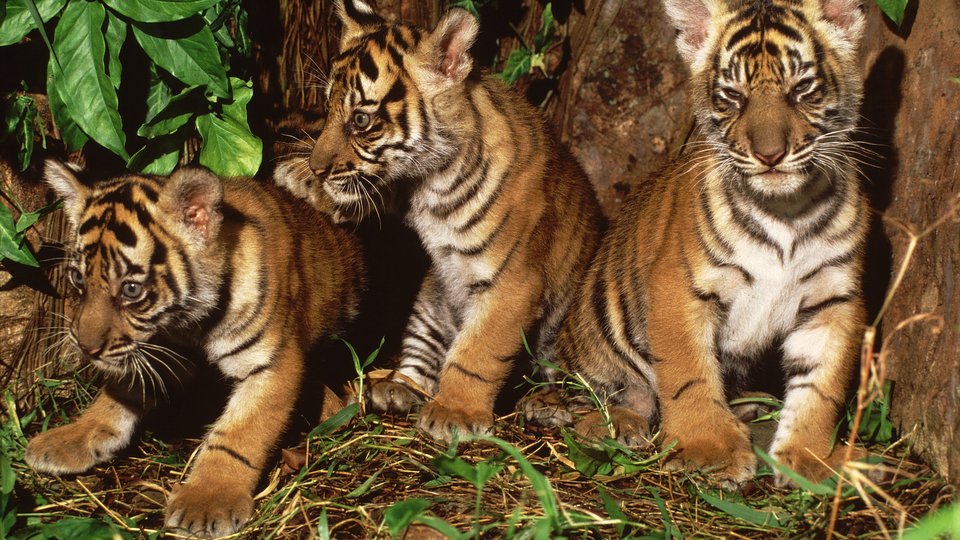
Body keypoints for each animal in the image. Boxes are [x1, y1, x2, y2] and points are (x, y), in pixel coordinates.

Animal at [26, 162, 365, 538]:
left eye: (130, 289)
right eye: (78, 279)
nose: (86, 348)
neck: (188, 323)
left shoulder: (273, 362)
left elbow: (240, 433)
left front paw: (208, 500)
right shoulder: (161, 349)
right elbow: (116, 396)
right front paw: (72, 437)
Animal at [276, 0, 604, 442]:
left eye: (360, 120)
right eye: (327, 109)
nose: (317, 167)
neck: (431, 185)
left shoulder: (513, 282)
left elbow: (478, 351)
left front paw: (455, 412)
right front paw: (302, 178)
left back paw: (546, 404)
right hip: (431, 302)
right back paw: (396, 388)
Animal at [526, 0, 870, 486]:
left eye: (802, 88)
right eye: (733, 95)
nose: (770, 155)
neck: (786, 210)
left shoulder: (834, 297)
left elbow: (821, 386)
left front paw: (810, 460)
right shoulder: (678, 287)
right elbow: (689, 373)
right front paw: (711, 451)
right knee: (595, 394)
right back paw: (612, 423)